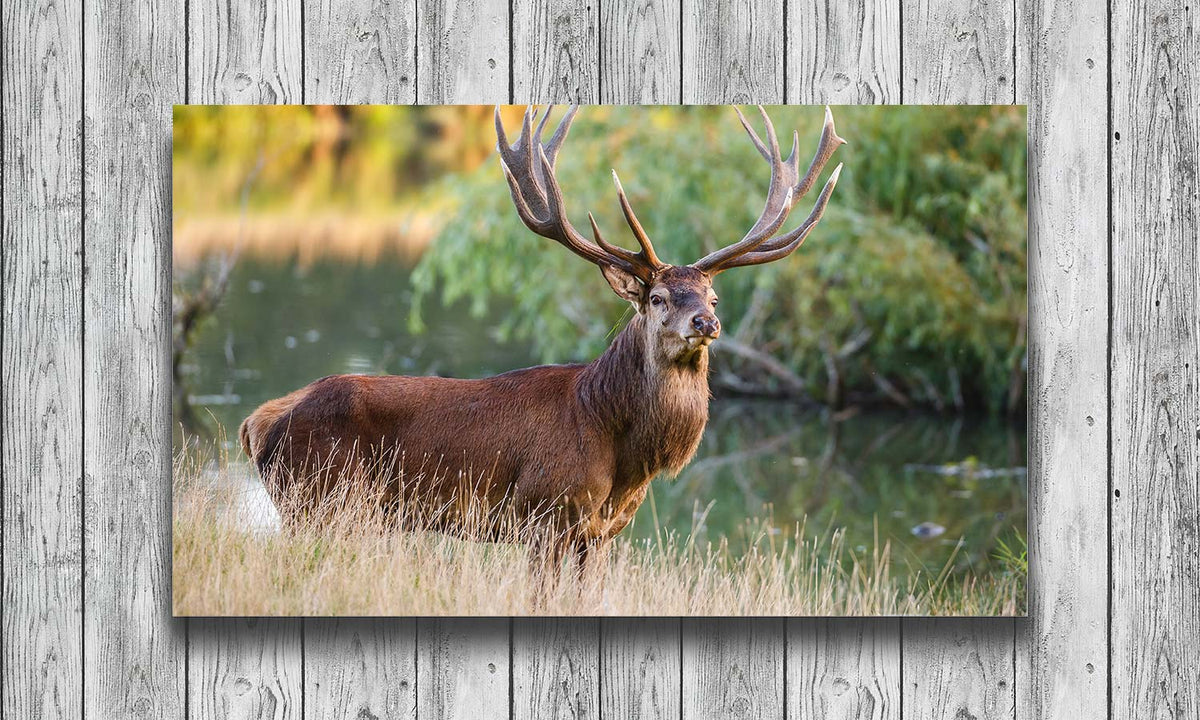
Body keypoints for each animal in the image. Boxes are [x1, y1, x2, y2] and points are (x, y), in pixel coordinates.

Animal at [239, 104, 845, 589]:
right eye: (657, 298)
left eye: (713, 295)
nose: (706, 322)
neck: (620, 450)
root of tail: (256, 424)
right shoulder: (546, 515)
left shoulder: (599, 533)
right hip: (317, 500)